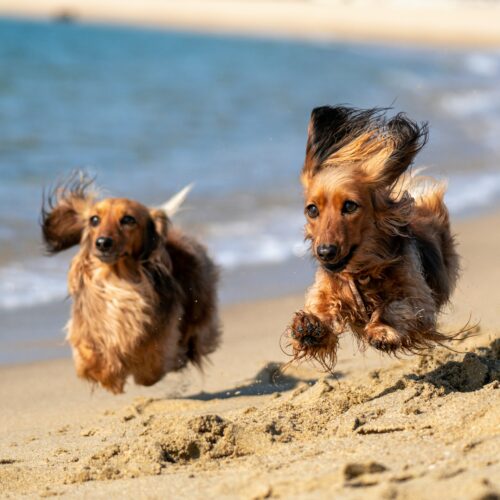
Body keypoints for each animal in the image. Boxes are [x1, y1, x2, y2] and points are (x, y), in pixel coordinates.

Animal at [42, 174, 222, 392]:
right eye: (94, 220)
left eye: (128, 219)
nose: (102, 243)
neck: (117, 279)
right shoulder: (87, 328)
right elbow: (89, 356)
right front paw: (108, 373)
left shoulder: (161, 334)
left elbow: (151, 365)